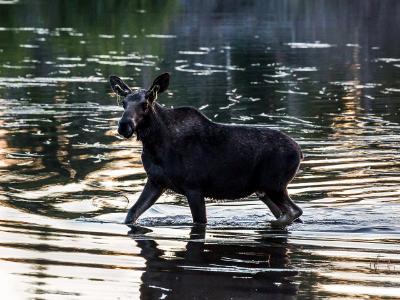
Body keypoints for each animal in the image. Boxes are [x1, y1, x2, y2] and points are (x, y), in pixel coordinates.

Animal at [109, 72, 304, 227]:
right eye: (124, 103)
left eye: (145, 103)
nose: (124, 125)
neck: (154, 146)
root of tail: (300, 153)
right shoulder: (156, 182)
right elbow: (131, 214)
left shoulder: (194, 188)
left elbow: (199, 221)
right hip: (264, 190)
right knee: (292, 214)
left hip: (274, 185)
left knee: (295, 211)